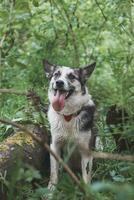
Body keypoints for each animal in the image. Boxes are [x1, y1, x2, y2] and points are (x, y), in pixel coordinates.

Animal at [43, 59, 97, 189]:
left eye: (72, 76)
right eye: (56, 74)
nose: (59, 83)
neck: (68, 115)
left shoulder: (86, 152)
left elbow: (86, 177)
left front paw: (87, 191)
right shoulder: (54, 146)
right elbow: (54, 172)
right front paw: (51, 189)